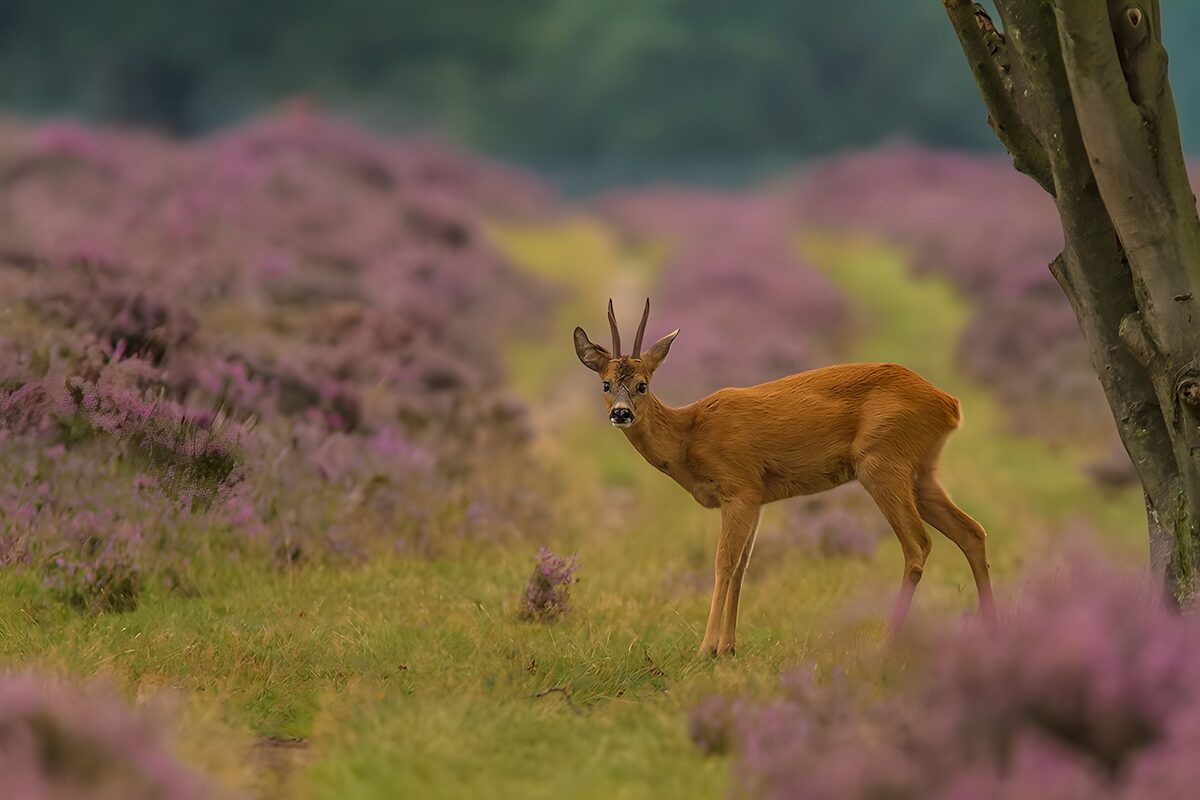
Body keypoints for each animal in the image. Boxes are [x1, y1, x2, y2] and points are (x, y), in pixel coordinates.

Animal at [574, 299, 995, 657]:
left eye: (643, 384)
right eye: (606, 384)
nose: (621, 413)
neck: (690, 436)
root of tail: (949, 404)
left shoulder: (740, 485)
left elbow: (723, 563)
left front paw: (706, 648)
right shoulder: (757, 495)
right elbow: (743, 567)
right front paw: (728, 647)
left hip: (882, 461)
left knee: (918, 544)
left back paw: (888, 644)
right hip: (921, 471)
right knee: (972, 531)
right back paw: (990, 629)